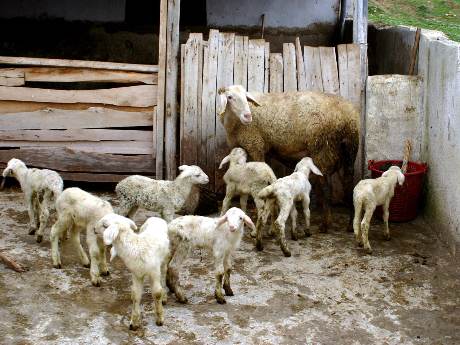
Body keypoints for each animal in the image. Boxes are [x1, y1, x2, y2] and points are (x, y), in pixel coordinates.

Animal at [217, 84, 362, 232]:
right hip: (348, 151)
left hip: (323, 148)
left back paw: (325, 224)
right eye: (230, 97)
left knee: (327, 187)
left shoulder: (255, 145)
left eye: (246, 97)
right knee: (348, 184)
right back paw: (350, 225)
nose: (248, 116)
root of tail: (348, 116)